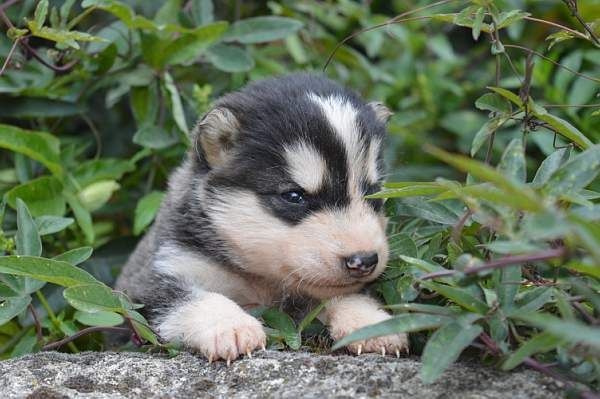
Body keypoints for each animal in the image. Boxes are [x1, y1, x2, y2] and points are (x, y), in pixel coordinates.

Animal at [115, 72, 408, 362]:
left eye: (373, 193)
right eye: (294, 196)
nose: (364, 261)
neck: (262, 280)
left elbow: (348, 295)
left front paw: (372, 323)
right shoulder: (152, 282)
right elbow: (195, 299)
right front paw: (229, 326)